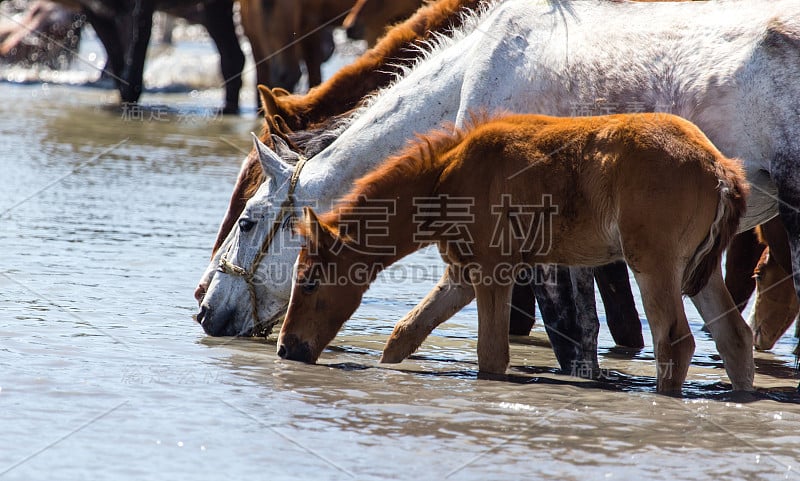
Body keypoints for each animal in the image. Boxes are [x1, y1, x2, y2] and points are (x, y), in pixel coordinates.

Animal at [276, 113, 752, 394]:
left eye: (310, 281)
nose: (285, 349)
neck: (443, 179)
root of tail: (720, 167)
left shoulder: (492, 269)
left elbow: (491, 354)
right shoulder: (462, 274)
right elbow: (405, 332)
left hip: (653, 263)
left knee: (675, 342)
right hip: (698, 271)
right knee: (735, 337)